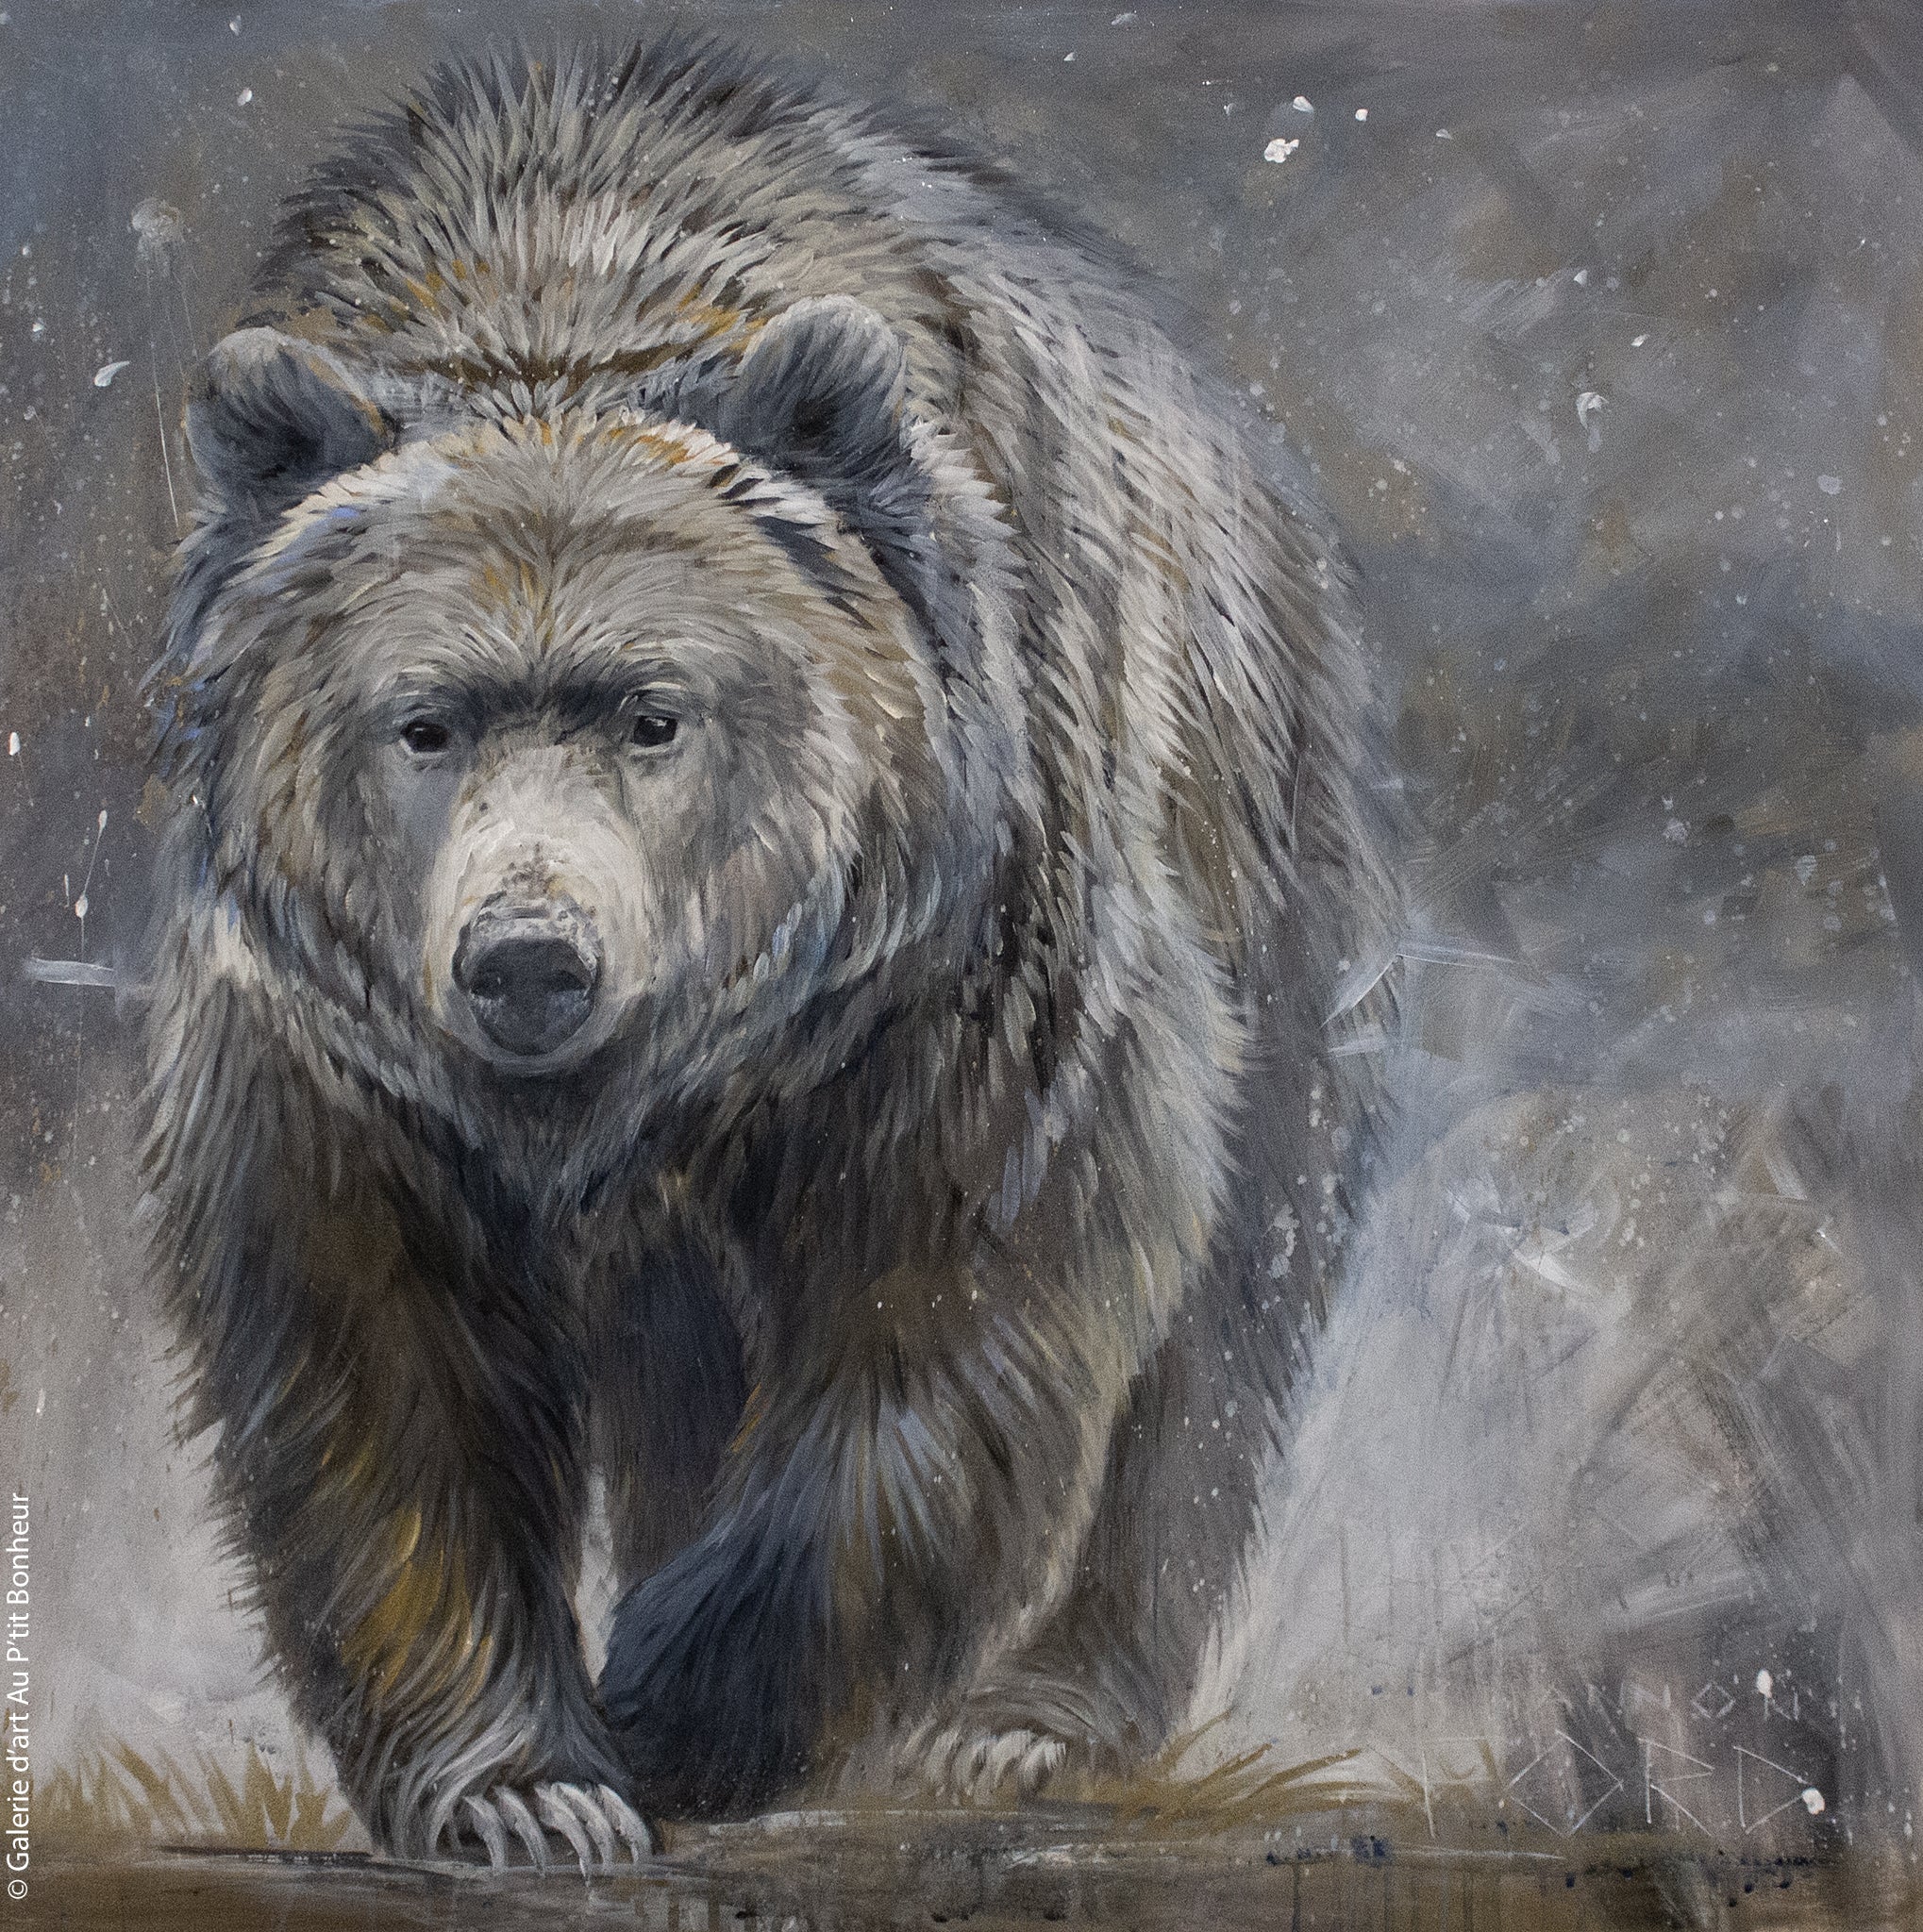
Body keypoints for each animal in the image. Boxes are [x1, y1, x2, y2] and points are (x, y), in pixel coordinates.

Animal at [139, 35, 1397, 1868]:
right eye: (424, 720)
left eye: (652, 713)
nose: (530, 959)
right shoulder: (342, 1045)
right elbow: (372, 1350)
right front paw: (527, 1785)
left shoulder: (961, 947)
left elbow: (966, 1287)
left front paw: (677, 1703)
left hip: (1264, 848)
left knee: (1213, 1331)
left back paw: (1029, 1715)